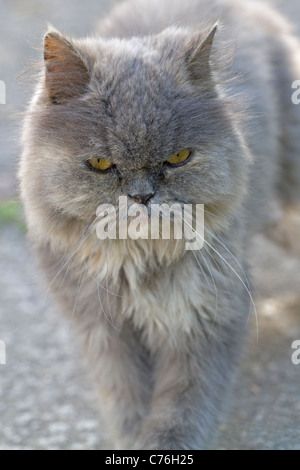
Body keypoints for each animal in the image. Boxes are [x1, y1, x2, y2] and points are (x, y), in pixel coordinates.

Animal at [19, 0, 300, 450]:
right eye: (101, 164)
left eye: (179, 158)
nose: (142, 197)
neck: (137, 263)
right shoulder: (104, 330)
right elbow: (126, 399)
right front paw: (132, 440)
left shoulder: (203, 317)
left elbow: (182, 409)